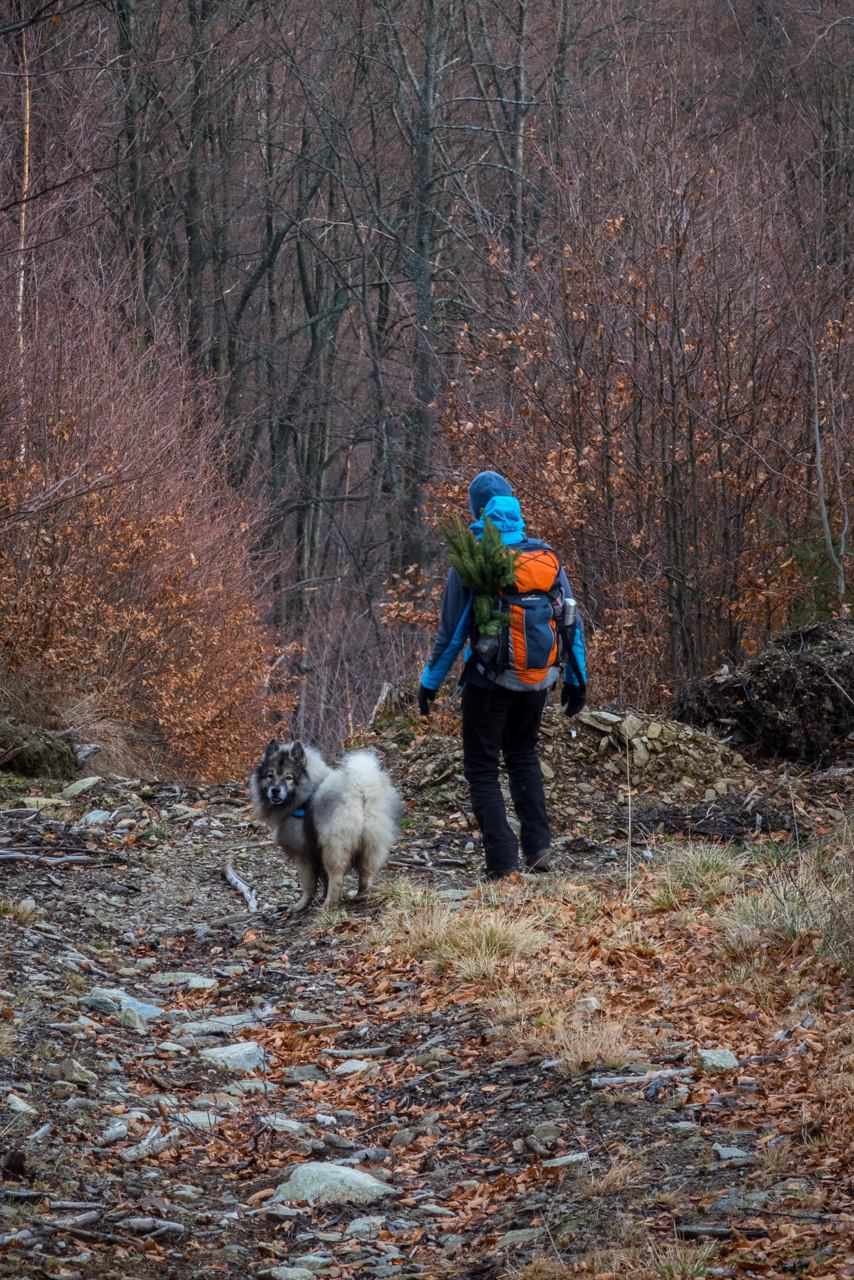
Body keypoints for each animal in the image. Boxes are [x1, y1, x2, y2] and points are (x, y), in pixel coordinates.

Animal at [250, 742, 404, 911]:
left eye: (288, 777)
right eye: (270, 775)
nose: (275, 790)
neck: (307, 793)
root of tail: (361, 788)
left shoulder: (303, 855)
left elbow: (308, 884)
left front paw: (301, 905)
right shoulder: (318, 851)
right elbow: (324, 880)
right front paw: (321, 896)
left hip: (334, 848)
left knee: (337, 878)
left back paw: (327, 907)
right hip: (371, 846)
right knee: (366, 876)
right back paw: (361, 898)